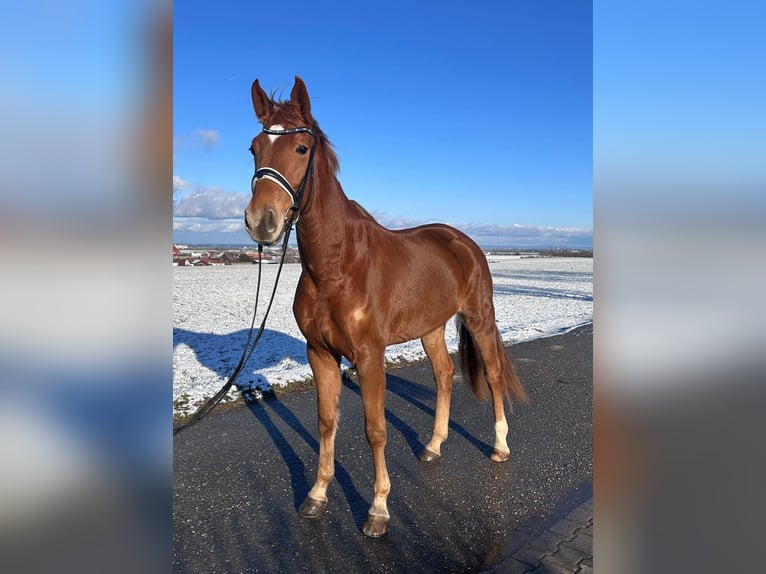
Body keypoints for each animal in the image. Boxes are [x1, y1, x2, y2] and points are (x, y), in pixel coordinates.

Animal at [246, 77, 528, 540]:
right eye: (254, 148)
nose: (260, 221)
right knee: (444, 375)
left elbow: (374, 430)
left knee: (493, 374)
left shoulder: (368, 355)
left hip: (479, 318)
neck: (337, 265)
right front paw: (316, 495)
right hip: (431, 327)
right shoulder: (320, 354)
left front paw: (378, 509)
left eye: (301, 148)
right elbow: (326, 422)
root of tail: (462, 241)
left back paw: (500, 447)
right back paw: (432, 446)